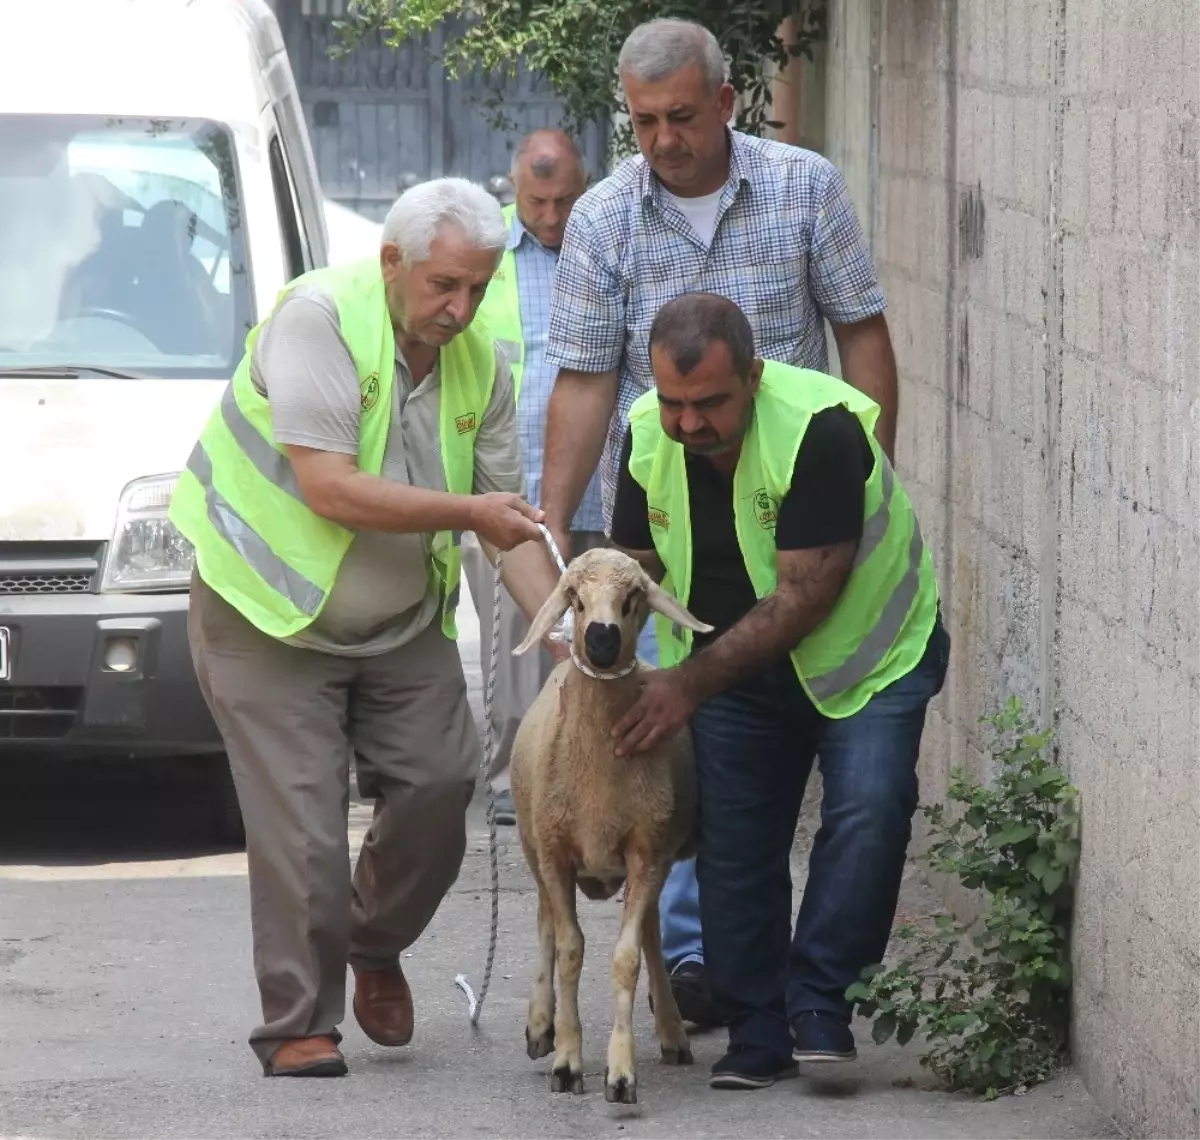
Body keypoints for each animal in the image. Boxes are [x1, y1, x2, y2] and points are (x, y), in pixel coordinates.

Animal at [506, 549, 710, 1104]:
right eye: (574, 599)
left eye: (634, 597)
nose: (601, 638)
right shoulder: (555, 853)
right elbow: (570, 949)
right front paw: (566, 1061)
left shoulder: (647, 851)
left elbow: (626, 957)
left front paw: (621, 1074)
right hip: (534, 843)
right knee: (545, 922)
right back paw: (539, 1025)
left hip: (655, 857)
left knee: (653, 934)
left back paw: (672, 1032)